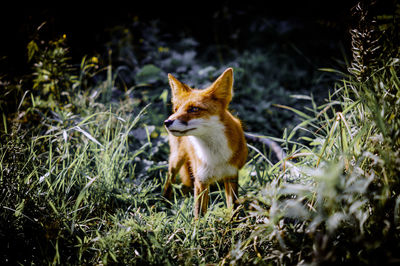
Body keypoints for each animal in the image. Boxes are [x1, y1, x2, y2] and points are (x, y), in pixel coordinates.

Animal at [162, 67, 247, 218]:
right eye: (176, 109)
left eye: (194, 109)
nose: (167, 122)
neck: (215, 157)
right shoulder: (201, 180)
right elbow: (199, 214)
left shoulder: (231, 175)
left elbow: (233, 209)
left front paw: (234, 222)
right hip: (176, 160)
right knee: (169, 181)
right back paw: (163, 203)